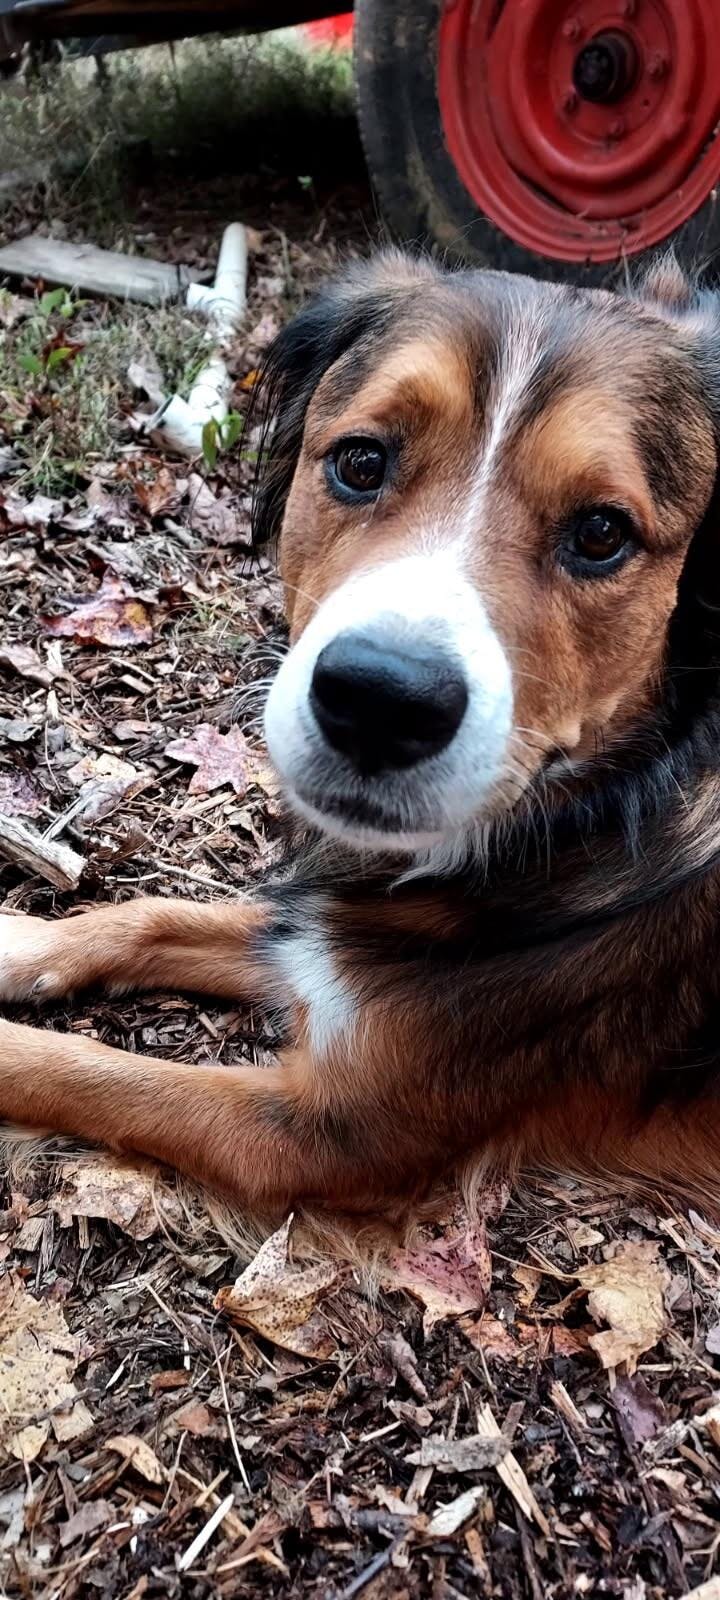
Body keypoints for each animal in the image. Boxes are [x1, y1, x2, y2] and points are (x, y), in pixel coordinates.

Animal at [2, 250, 720, 1222]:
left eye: (603, 532)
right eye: (360, 460)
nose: (380, 702)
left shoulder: (326, 1137)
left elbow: (85, 1070)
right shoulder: (324, 943)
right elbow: (153, 913)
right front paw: (19, 946)